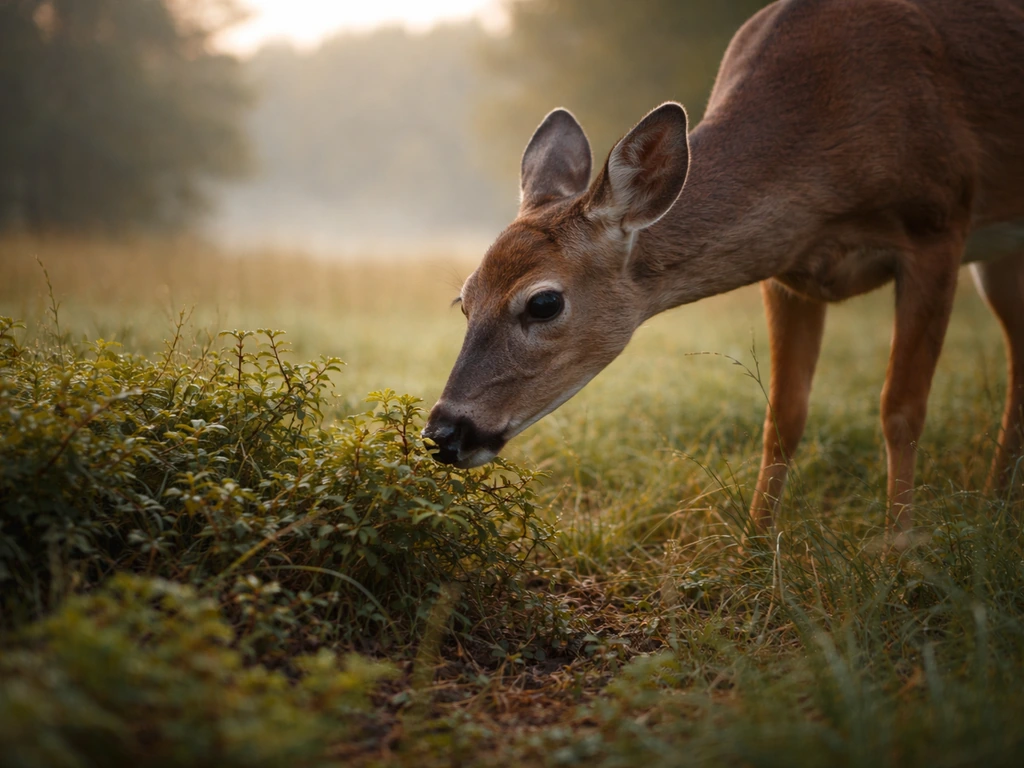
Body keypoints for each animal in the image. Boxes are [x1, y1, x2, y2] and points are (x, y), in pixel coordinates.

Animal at [423, 0, 1024, 535]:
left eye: (544, 302)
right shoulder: (788, 268)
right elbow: (783, 417)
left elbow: (902, 409)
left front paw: (896, 553)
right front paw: (752, 551)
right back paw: (995, 506)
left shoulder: (938, 228)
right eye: (464, 300)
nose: (443, 433)